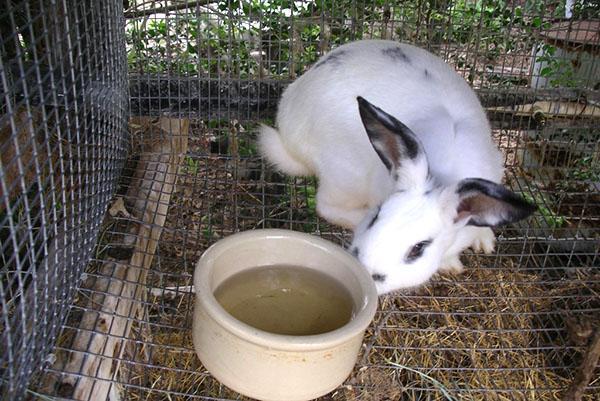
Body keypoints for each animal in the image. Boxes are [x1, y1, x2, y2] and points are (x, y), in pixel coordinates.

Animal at [258, 39, 536, 294]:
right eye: (376, 217)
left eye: (418, 249)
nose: (368, 273)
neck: (443, 177)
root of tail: (288, 123)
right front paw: (452, 265)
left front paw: (484, 242)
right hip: (344, 175)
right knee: (326, 206)